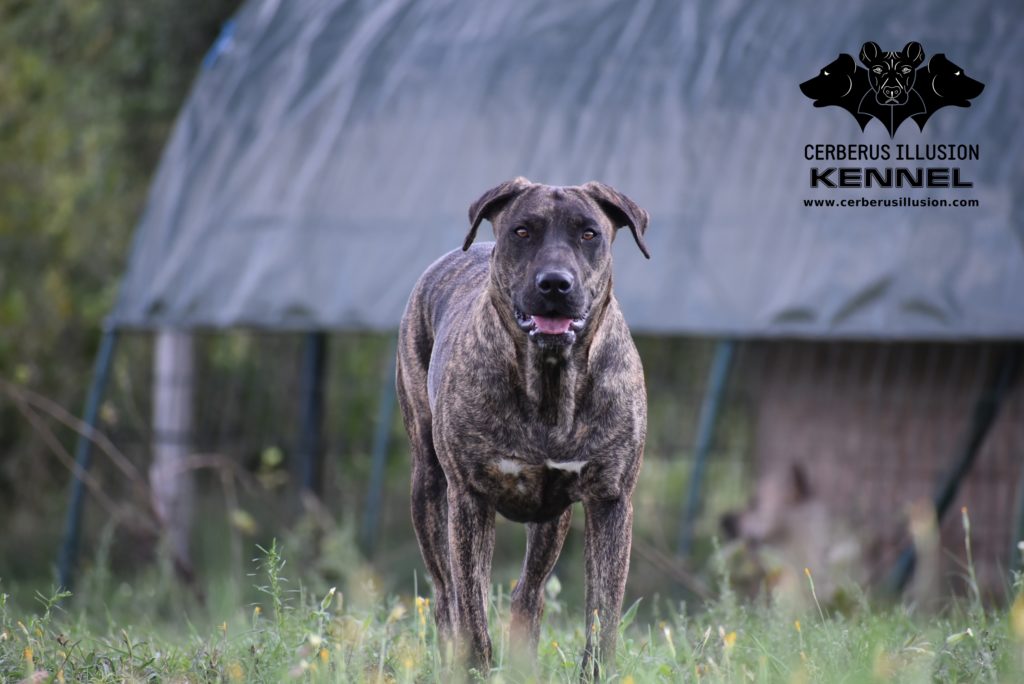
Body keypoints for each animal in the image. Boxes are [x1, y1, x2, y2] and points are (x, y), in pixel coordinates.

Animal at [397, 178, 647, 679]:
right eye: (523, 231)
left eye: (589, 233)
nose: (554, 283)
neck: (550, 381)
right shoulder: (469, 498)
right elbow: (471, 603)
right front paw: (476, 669)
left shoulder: (610, 501)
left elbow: (603, 611)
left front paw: (595, 673)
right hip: (428, 486)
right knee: (446, 595)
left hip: (553, 518)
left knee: (526, 596)